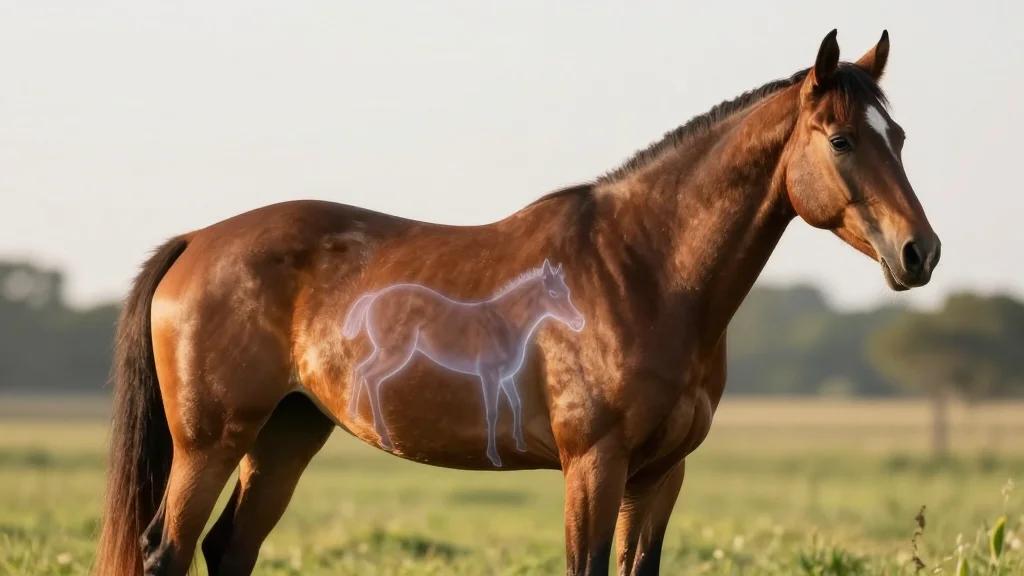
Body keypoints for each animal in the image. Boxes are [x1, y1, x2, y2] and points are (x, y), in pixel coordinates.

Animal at [342, 259, 585, 466]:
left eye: (567, 292)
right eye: (553, 293)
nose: (579, 322)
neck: (504, 323)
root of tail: (374, 297)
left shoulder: (506, 376)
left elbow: (516, 404)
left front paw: (521, 444)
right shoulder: (489, 375)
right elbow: (492, 412)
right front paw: (494, 456)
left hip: (384, 352)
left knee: (360, 369)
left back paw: (353, 415)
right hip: (395, 352)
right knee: (372, 377)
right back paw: (384, 437)